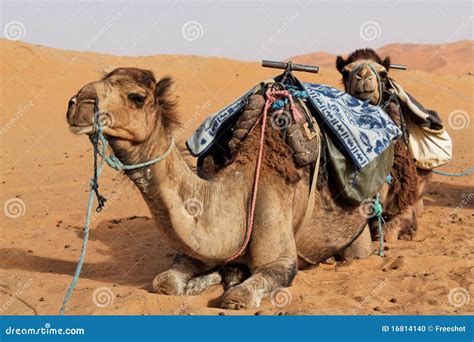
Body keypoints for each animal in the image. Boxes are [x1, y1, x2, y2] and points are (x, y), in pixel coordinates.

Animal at [65, 67, 382, 310]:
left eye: (137, 97)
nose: (77, 102)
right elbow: (165, 282)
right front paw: (210, 278)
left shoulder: (280, 259)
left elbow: (237, 297)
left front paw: (227, 282)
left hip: (359, 236)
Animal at [336, 48, 432, 243]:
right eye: (345, 72)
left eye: (383, 73)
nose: (364, 76)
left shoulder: (403, 203)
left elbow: (388, 231)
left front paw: (405, 232)